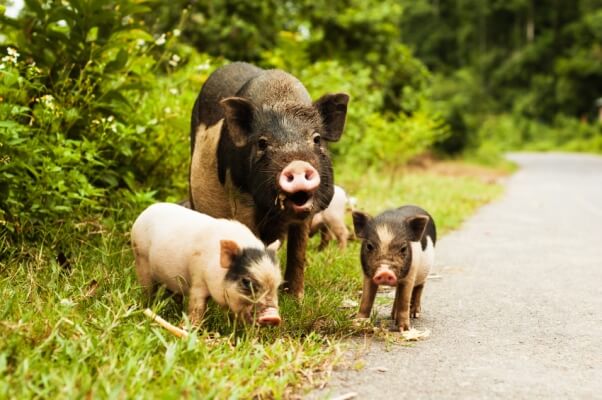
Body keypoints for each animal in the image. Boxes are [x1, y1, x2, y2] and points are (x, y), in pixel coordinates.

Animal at [188, 62, 346, 298]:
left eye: (317, 139)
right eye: (262, 143)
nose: (297, 164)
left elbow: (298, 250)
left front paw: (296, 298)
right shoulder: (240, 197)